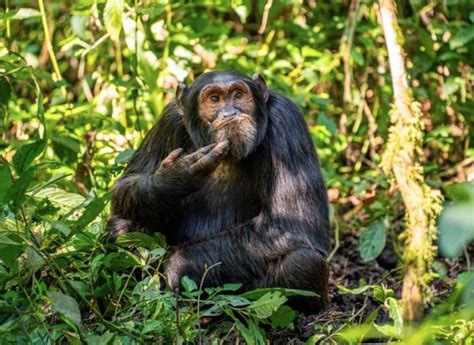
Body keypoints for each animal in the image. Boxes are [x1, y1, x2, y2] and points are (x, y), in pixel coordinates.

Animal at [107, 70, 330, 312]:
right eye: (214, 99)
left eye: (238, 94)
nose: (230, 112)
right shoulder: (168, 120)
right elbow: (125, 184)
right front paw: (174, 177)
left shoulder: (286, 120)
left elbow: (292, 222)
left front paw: (178, 267)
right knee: (122, 226)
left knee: (303, 261)